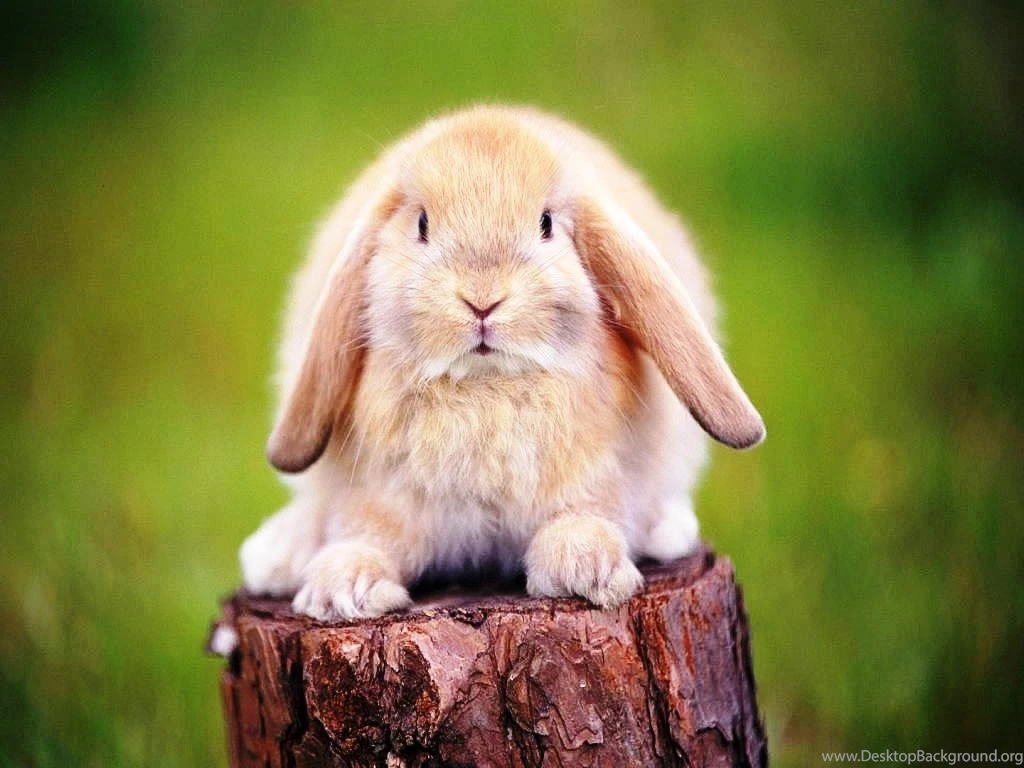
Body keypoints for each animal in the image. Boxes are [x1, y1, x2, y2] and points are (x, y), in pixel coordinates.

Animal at [239, 105, 764, 620]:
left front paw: (586, 569)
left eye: (546, 223)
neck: (487, 387)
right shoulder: (382, 496)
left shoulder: (597, 480)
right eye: (422, 225)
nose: (482, 300)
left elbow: (584, 516)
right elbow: (369, 536)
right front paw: (342, 590)